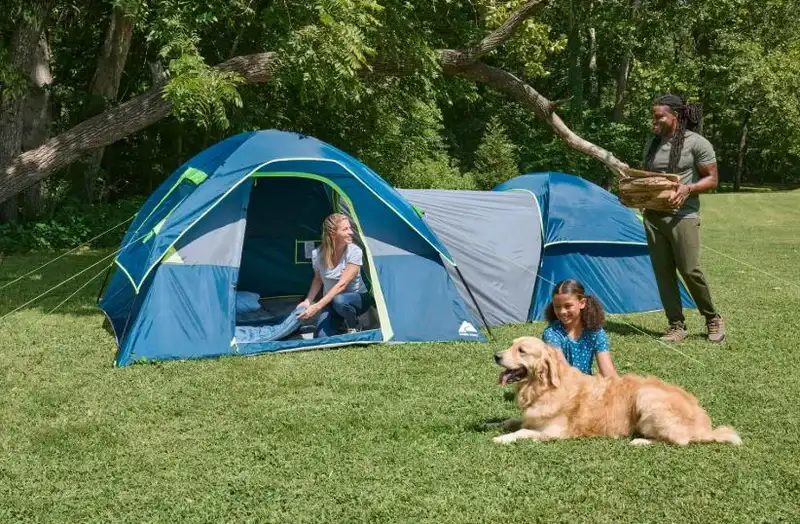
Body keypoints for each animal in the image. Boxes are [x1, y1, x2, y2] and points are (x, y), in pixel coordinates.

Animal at [490, 336, 740, 446]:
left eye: (522, 350)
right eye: (511, 345)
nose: (496, 355)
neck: (541, 390)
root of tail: (705, 426)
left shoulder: (554, 432)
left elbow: (522, 431)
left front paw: (501, 438)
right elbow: (512, 420)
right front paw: (492, 424)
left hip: (646, 396)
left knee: (679, 440)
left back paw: (640, 441)